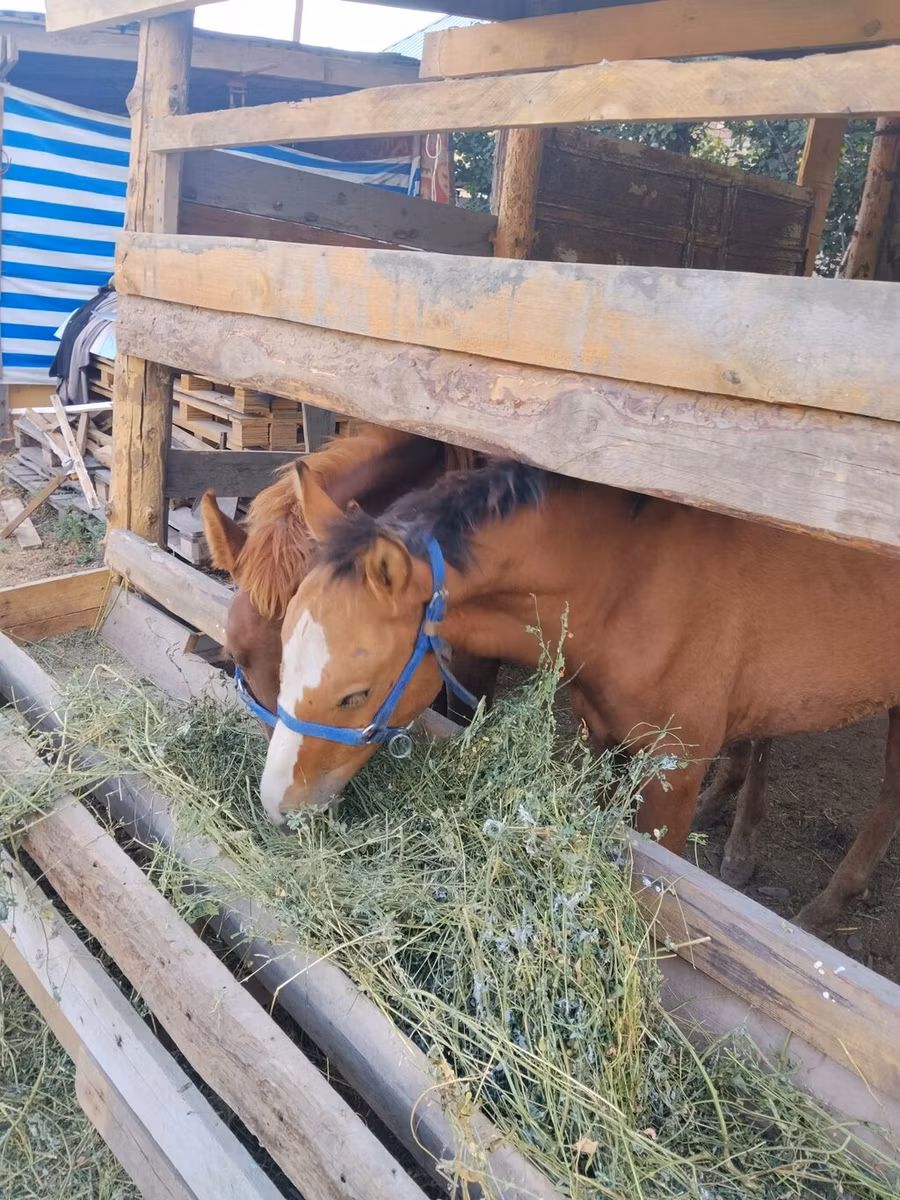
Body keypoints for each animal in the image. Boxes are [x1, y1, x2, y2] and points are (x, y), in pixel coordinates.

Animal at [258, 459, 900, 937]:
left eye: (354, 695)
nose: (277, 806)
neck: (631, 584)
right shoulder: (601, 738)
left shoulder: (673, 776)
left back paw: (828, 901)